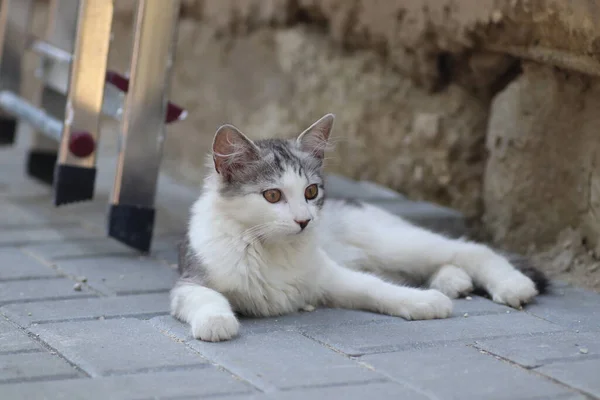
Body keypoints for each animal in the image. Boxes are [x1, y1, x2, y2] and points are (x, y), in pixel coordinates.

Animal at [170, 114, 548, 342]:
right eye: (272, 195)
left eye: (311, 192)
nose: (304, 221)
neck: (271, 249)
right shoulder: (189, 282)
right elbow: (207, 298)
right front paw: (217, 322)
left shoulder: (329, 276)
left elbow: (377, 289)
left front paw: (422, 302)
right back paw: (454, 281)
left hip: (395, 244)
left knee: (470, 248)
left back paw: (512, 284)